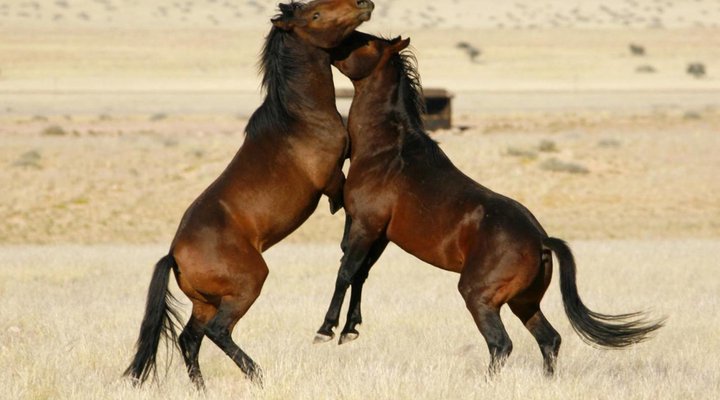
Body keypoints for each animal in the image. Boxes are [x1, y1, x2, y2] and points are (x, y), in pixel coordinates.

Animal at [124, 0, 375, 389]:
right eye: (315, 15)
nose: (363, 4)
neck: (300, 118)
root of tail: (174, 256)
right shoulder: (332, 179)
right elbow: (343, 208)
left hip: (206, 301)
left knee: (190, 338)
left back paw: (202, 388)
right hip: (246, 286)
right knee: (217, 332)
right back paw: (258, 375)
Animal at [314, 32, 665, 376]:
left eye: (366, 42)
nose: (333, 46)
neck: (388, 151)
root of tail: (541, 240)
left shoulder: (366, 225)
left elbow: (345, 272)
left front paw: (326, 329)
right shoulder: (379, 235)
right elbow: (360, 274)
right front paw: (350, 330)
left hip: (479, 297)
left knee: (501, 343)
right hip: (524, 303)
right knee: (549, 339)